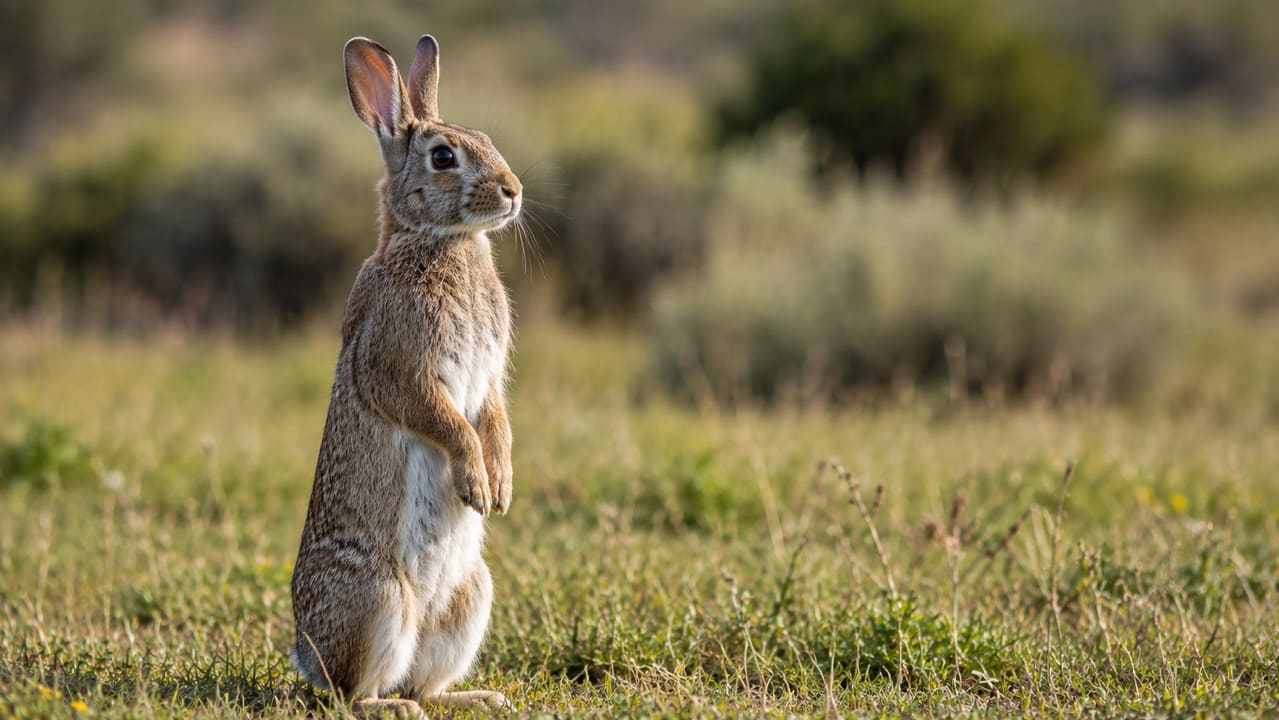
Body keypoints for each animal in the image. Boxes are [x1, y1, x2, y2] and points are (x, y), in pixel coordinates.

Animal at [290, 34, 520, 717]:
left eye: (485, 137)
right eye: (443, 157)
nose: (514, 191)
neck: (442, 240)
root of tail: (303, 653)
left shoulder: (489, 377)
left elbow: (494, 418)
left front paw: (499, 487)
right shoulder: (401, 369)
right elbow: (446, 422)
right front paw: (476, 485)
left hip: (472, 596)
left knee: (425, 677)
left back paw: (478, 698)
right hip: (380, 600)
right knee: (353, 692)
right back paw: (390, 705)